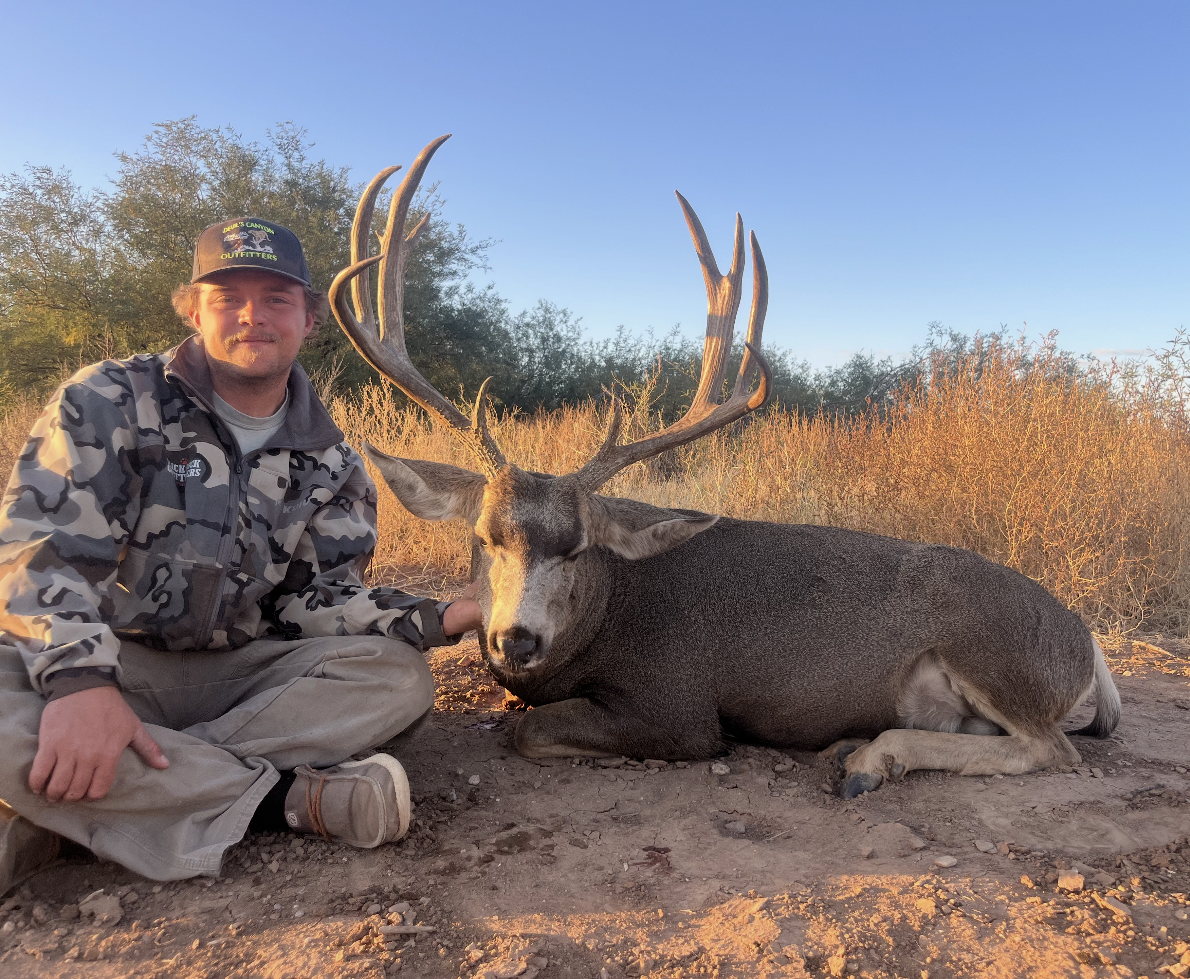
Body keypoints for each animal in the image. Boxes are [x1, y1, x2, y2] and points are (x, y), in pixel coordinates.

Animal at [329, 135, 1121, 800]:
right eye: (484, 537)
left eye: (577, 547)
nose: (515, 639)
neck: (607, 611)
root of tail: (1082, 640)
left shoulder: (679, 709)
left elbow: (528, 727)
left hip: (992, 651)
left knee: (1052, 749)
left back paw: (869, 758)